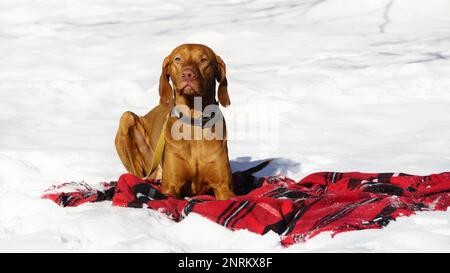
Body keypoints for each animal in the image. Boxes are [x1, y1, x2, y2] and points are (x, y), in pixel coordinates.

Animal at [114, 43, 234, 199]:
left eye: (203, 60)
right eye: (178, 59)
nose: (188, 74)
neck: (193, 121)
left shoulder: (224, 188)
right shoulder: (171, 187)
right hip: (126, 118)